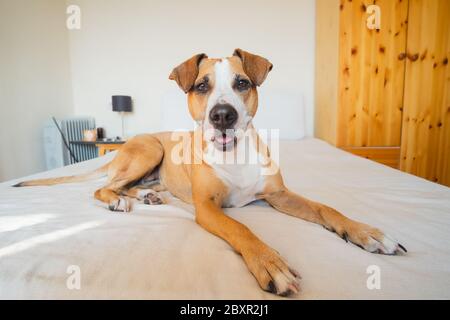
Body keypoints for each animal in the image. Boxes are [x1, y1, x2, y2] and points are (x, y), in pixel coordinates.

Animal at [14, 48, 408, 296]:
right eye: (201, 86)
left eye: (242, 83)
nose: (222, 115)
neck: (233, 154)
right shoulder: (207, 208)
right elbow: (241, 228)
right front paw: (271, 264)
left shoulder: (279, 195)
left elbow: (327, 209)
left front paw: (366, 232)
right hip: (150, 150)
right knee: (104, 186)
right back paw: (119, 200)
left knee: (126, 185)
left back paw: (147, 194)